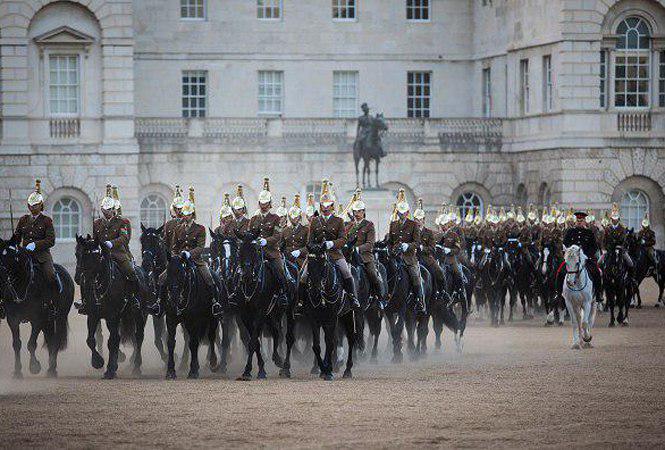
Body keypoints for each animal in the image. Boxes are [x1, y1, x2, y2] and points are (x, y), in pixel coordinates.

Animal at [0, 237, 73, 378]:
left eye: (14, 255)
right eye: (1, 255)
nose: (2, 276)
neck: (22, 286)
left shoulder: (37, 319)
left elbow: (31, 344)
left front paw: (34, 366)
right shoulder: (13, 319)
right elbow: (16, 344)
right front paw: (17, 372)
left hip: (59, 318)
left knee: (55, 340)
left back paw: (52, 370)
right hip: (47, 321)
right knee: (50, 339)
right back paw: (51, 367)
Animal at [75, 236, 148, 380]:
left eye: (97, 256)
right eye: (78, 254)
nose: (81, 278)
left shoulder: (112, 316)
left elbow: (111, 341)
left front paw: (109, 370)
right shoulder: (93, 315)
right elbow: (91, 340)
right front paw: (98, 362)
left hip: (139, 314)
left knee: (138, 337)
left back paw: (136, 366)